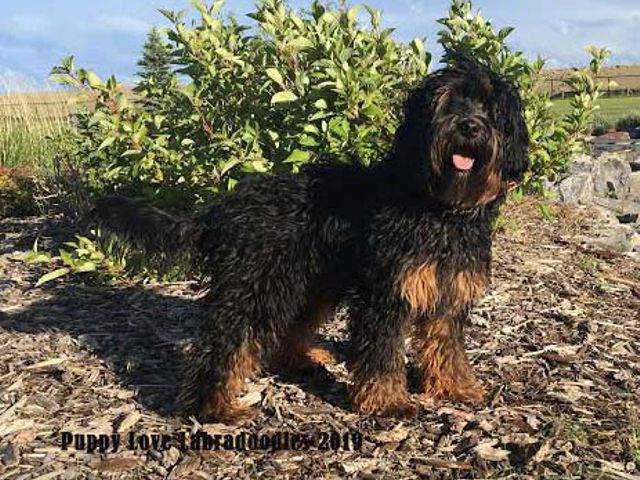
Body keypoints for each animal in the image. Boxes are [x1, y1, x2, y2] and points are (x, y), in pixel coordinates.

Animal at [92, 53, 528, 420]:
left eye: (492, 110)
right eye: (449, 102)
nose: (469, 125)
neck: (438, 206)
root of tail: (223, 207)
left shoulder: (449, 293)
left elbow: (447, 346)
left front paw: (456, 388)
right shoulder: (386, 293)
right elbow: (381, 352)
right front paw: (388, 402)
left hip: (310, 280)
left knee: (289, 327)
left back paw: (301, 359)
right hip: (257, 286)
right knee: (224, 343)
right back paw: (212, 407)